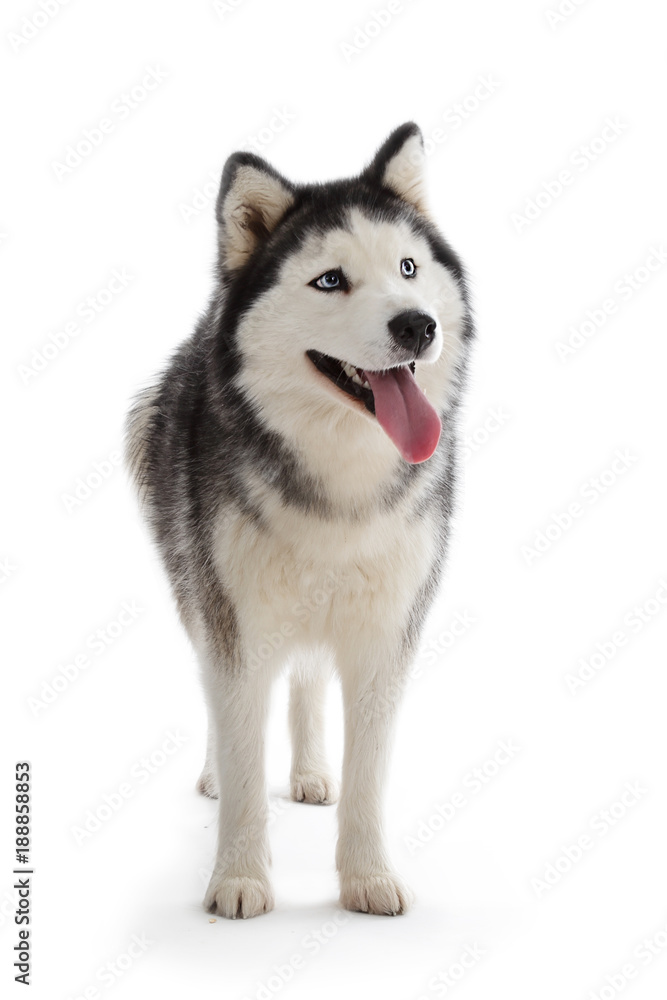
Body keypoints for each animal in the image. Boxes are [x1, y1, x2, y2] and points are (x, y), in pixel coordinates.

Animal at [126, 125, 474, 920]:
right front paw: (239, 878)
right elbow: (243, 753)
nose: (418, 324)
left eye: (408, 267)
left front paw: (368, 877)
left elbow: (369, 770)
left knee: (309, 679)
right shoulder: (234, 624)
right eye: (330, 280)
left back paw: (312, 772)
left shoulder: (386, 631)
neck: (340, 481)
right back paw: (216, 774)